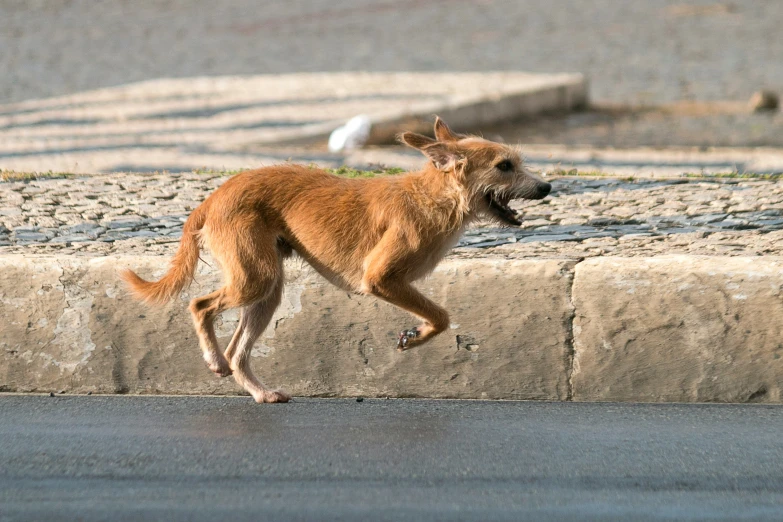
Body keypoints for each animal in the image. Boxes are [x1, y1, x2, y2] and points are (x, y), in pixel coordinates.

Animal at [122, 118, 552, 402]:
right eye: (504, 166)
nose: (548, 187)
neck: (433, 197)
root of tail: (212, 198)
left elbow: (438, 316)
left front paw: (415, 333)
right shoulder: (381, 278)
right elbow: (442, 316)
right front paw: (416, 337)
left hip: (266, 291)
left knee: (238, 352)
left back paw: (259, 392)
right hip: (253, 278)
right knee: (200, 306)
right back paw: (213, 359)